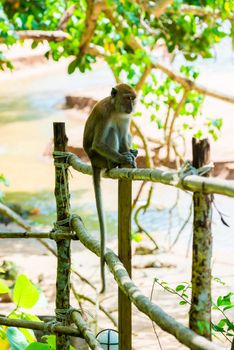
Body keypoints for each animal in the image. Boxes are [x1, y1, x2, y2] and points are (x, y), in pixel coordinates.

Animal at [82, 84, 137, 292]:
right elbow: (99, 142)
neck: (116, 109)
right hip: (98, 157)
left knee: (121, 133)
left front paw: (129, 154)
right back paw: (114, 164)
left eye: (133, 99)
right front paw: (123, 157)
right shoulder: (105, 114)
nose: (132, 106)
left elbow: (124, 134)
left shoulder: (126, 118)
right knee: (111, 133)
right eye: (127, 98)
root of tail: (92, 162)